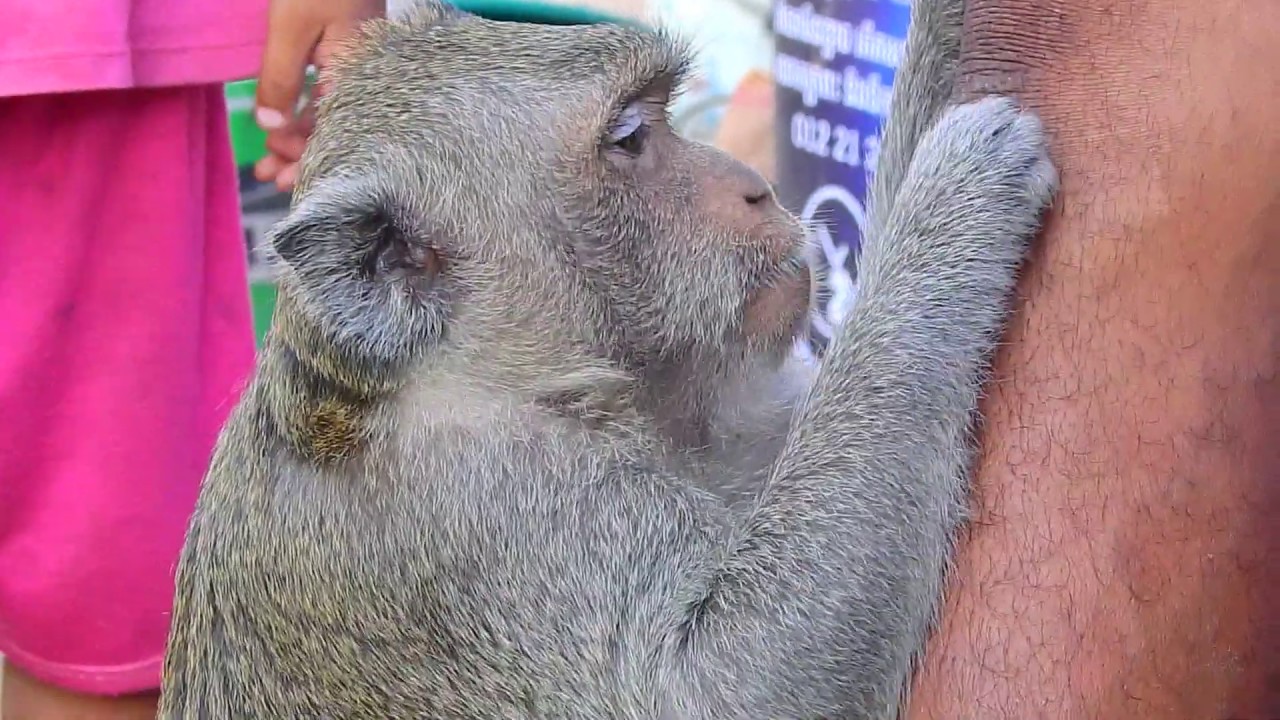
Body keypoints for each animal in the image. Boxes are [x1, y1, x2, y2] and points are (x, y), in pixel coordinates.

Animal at [158, 0, 1056, 717]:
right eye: (631, 137)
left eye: (661, 117)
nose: (755, 186)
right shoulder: (504, 515)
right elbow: (733, 691)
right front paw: (951, 201)